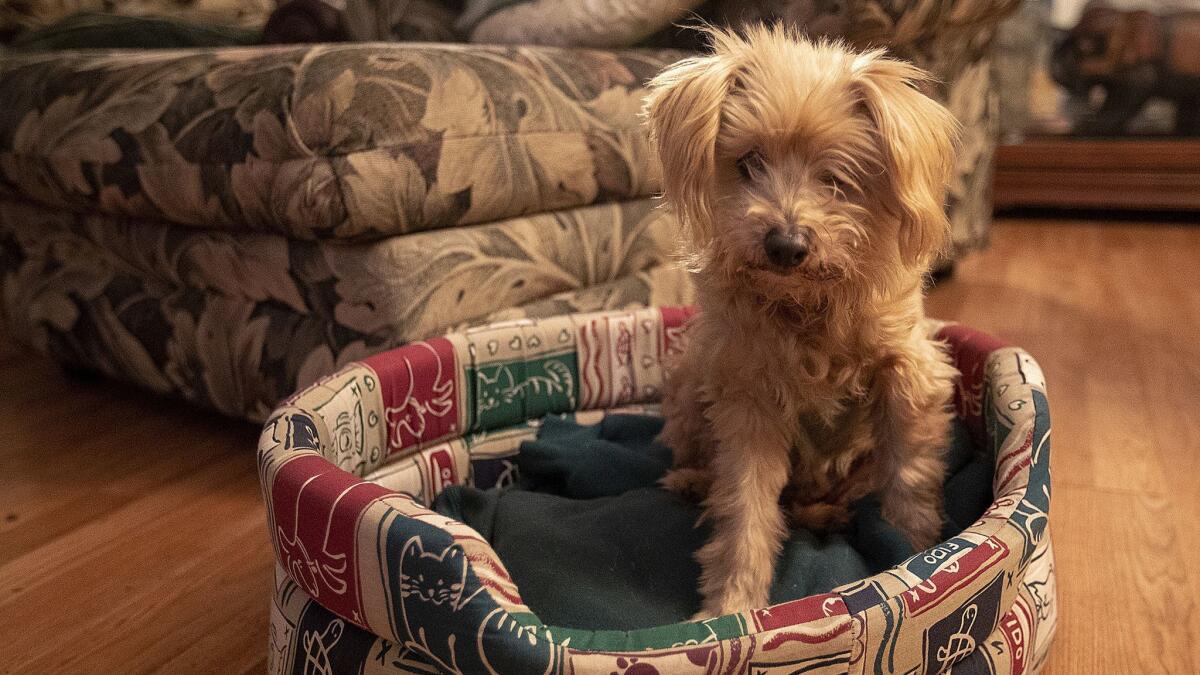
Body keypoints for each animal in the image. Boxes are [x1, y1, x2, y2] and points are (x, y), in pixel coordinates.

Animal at [643, 24, 960, 614]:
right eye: (749, 162)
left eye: (838, 176)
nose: (785, 245)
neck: (807, 306)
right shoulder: (749, 398)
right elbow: (744, 509)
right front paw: (732, 607)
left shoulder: (911, 373)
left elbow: (909, 473)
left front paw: (917, 551)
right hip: (690, 380)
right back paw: (693, 481)